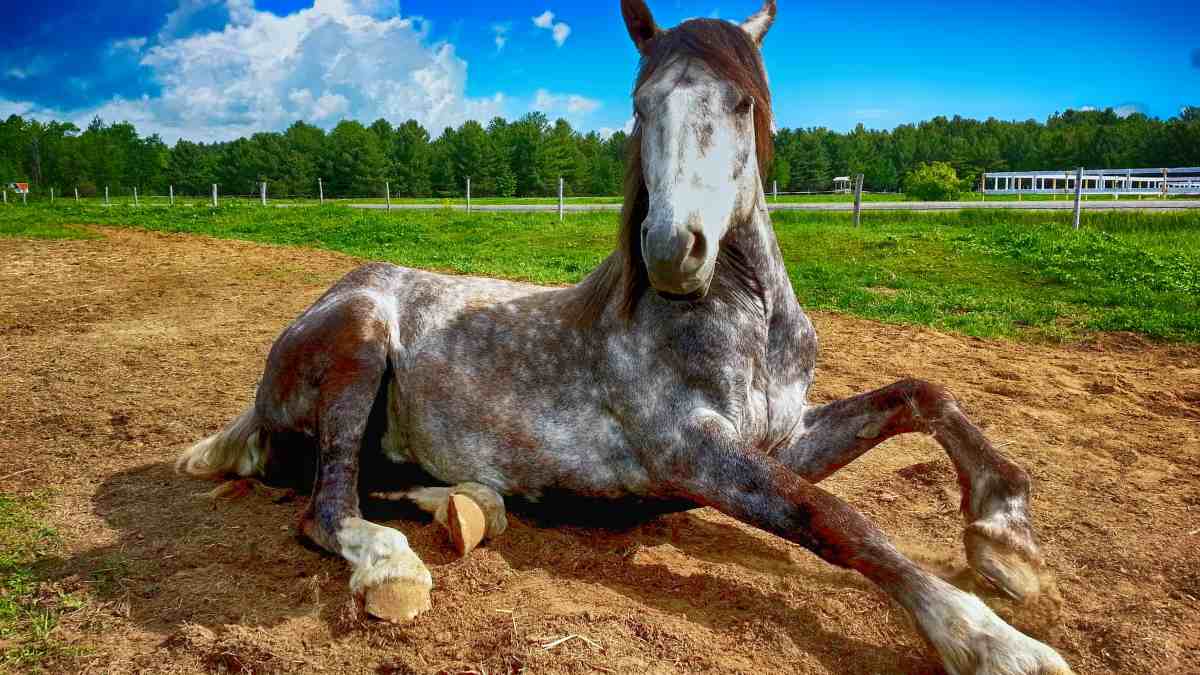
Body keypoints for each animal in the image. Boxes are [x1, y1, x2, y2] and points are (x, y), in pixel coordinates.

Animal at [175, 2, 1070, 667]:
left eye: (742, 101)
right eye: (642, 107)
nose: (674, 250)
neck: (745, 324)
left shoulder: (781, 437)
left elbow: (922, 394)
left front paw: (1006, 541)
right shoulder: (691, 453)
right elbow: (835, 517)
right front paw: (992, 641)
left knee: (375, 480)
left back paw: (468, 505)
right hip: (359, 339)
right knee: (326, 504)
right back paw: (394, 563)